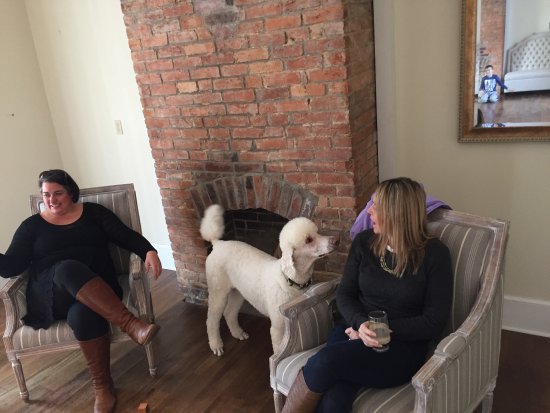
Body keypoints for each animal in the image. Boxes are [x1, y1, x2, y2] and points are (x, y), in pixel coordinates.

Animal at [200, 204, 340, 356]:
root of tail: (218, 244)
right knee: (211, 320)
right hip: (218, 290)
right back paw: (216, 345)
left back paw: (238, 333)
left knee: (229, 312)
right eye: (308, 240)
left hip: (237, 291)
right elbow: (278, 349)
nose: (337, 240)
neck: (291, 280)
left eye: (318, 232)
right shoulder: (279, 328)